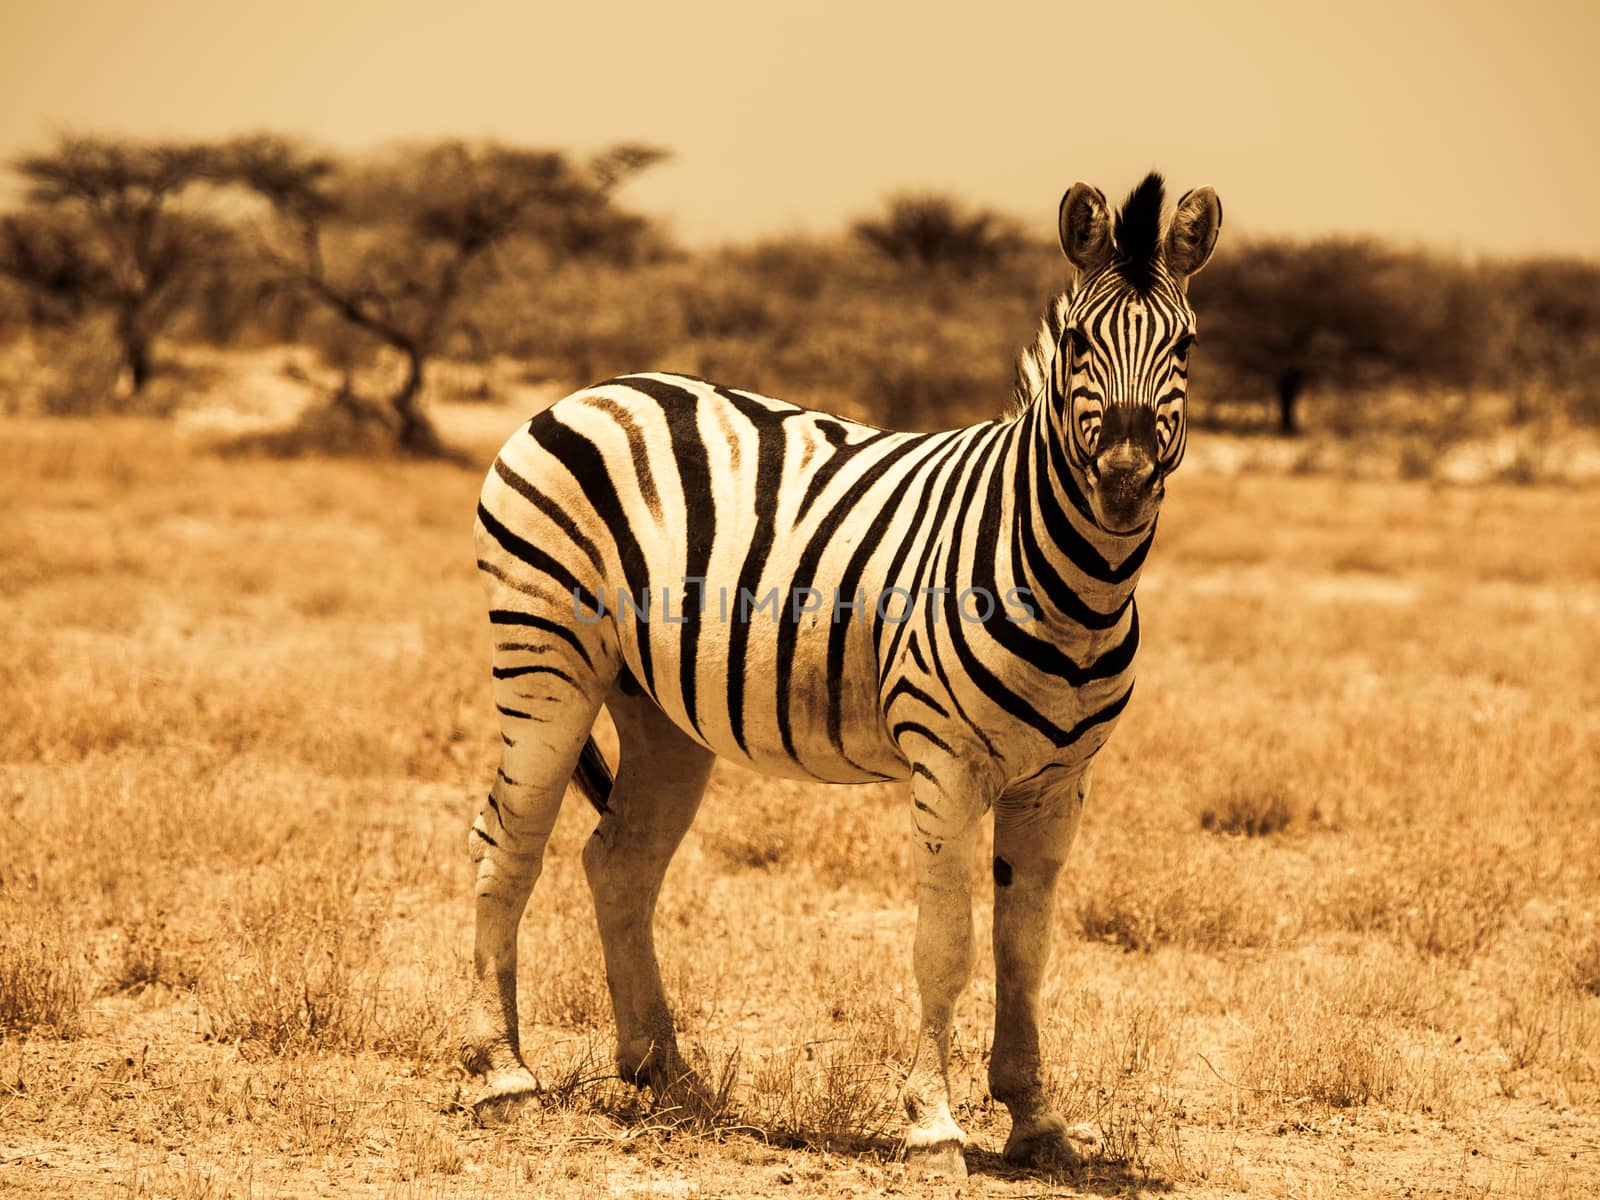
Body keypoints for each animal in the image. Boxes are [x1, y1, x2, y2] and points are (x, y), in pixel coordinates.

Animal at [464, 173, 1222, 1177]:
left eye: (1185, 345)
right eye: (1076, 343)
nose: (1126, 481)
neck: (1075, 583)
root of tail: (591, 392)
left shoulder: (1060, 780)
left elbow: (1027, 949)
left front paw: (1036, 1119)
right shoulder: (947, 762)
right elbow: (948, 944)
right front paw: (934, 1127)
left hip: (658, 706)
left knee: (618, 861)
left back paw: (667, 1074)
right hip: (544, 653)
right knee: (504, 845)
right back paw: (503, 1078)